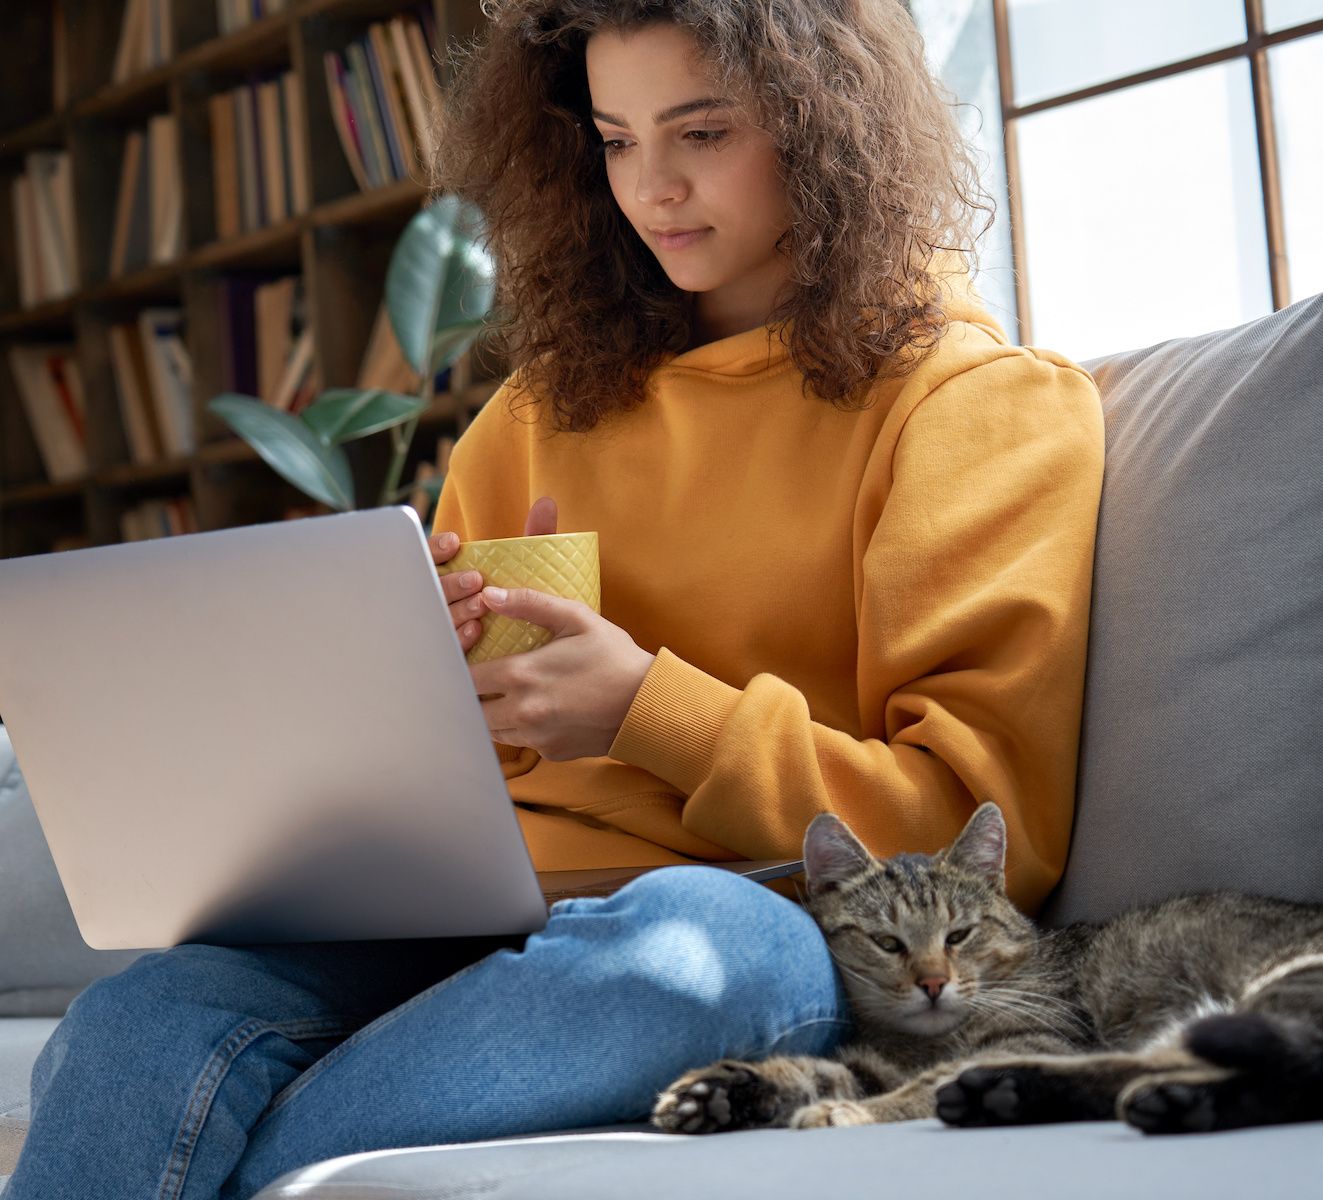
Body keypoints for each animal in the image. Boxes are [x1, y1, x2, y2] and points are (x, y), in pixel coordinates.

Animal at [650, 809, 1323, 1137]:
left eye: (958, 935)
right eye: (888, 942)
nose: (932, 983)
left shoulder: (1042, 1036)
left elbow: (918, 1087)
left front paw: (849, 1114)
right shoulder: (874, 1062)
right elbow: (820, 1071)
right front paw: (725, 1092)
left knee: (1290, 1074)